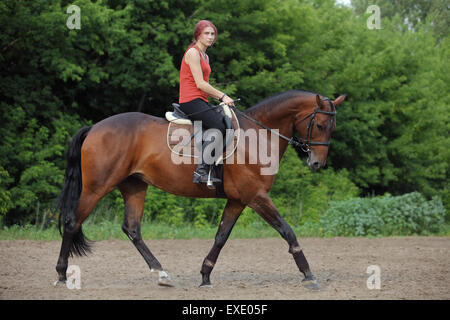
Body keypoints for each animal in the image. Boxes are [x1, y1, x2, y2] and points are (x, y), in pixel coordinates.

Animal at [54, 90, 346, 290]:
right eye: (320, 125)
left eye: (332, 127)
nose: (317, 163)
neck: (257, 136)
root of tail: (95, 127)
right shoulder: (256, 197)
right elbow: (287, 231)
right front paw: (308, 274)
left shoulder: (238, 200)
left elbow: (221, 236)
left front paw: (205, 275)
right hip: (97, 187)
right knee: (72, 222)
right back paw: (61, 274)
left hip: (134, 186)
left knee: (132, 228)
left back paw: (160, 273)